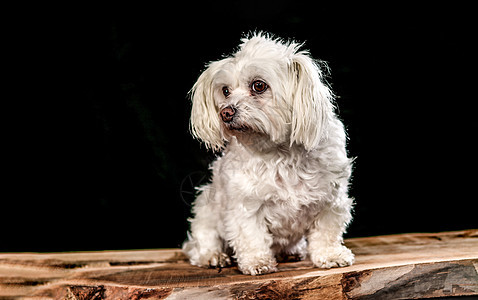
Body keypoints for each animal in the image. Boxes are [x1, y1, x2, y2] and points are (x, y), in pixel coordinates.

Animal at [183, 32, 354, 274]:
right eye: (225, 91)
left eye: (258, 85)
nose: (225, 112)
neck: (279, 153)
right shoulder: (245, 205)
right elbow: (251, 236)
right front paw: (257, 261)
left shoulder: (330, 201)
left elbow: (326, 233)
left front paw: (330, 254)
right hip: (206, 209)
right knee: (203, 240)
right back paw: (212, 256)